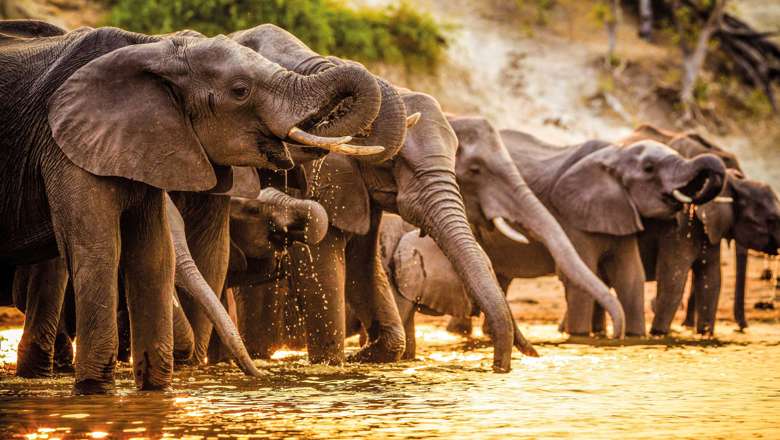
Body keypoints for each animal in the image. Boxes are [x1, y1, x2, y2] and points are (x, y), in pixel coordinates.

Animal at [0, 21, 384, 392]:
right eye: (240, 90)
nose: (258, 375)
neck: (151, 46)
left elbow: (154, 256)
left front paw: (156, 391)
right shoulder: (63, 147)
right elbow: (99, 251)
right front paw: (95, 392)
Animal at [620, 125, 780, 336]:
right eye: (770, 220)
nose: (744, 327)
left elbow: (711, 278)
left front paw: (702, 333)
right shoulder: (680, 224)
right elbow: (674, 279)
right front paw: (661, 332)